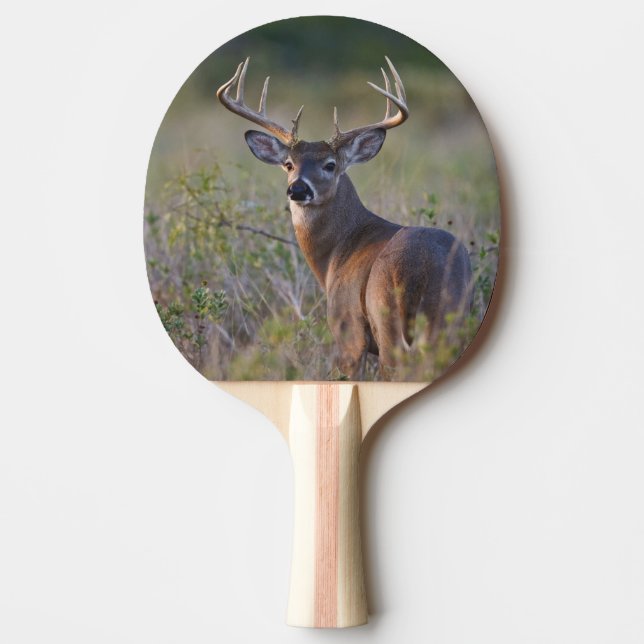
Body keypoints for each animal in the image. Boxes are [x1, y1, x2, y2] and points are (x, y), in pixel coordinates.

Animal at [217, 57, 472, 379]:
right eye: (288, 164)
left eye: (330, 164)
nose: (298, 189)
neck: (336, 253)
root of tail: (419, 271)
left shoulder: (346, 328)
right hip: (451, 323)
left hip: (386, 322)